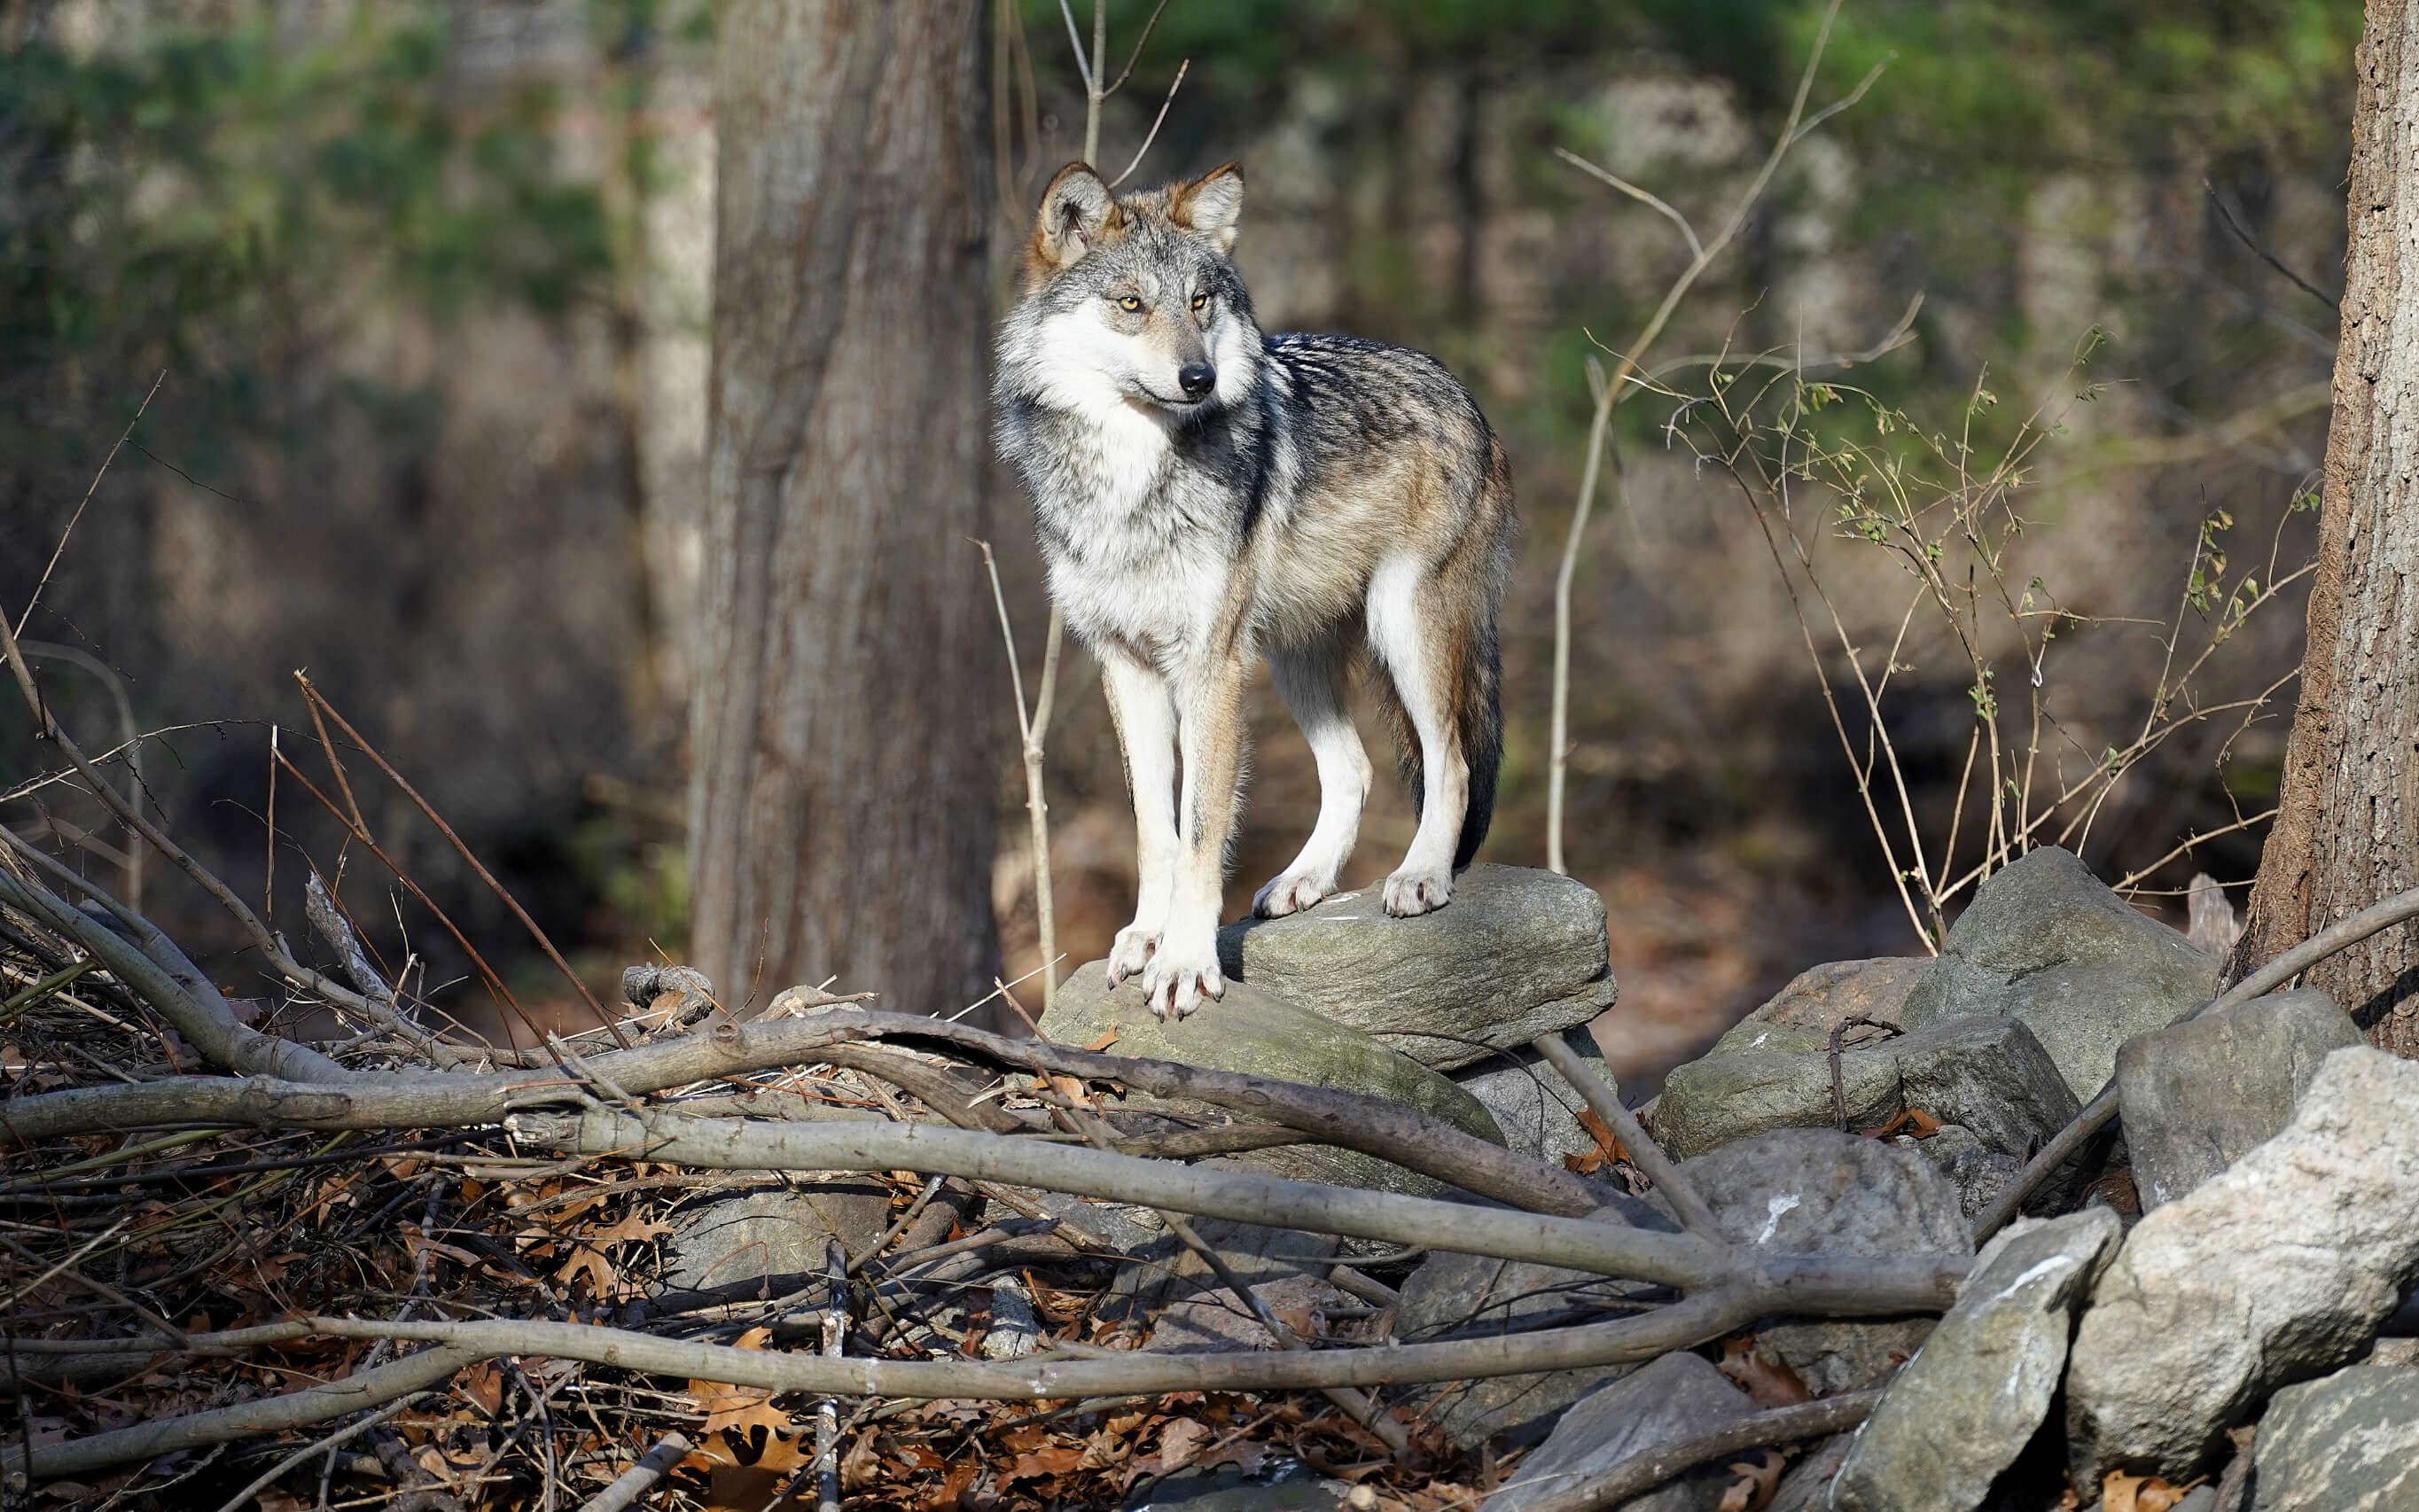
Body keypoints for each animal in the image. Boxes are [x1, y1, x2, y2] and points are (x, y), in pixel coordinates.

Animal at [993, 160, 1514, 1019]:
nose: (1197, 376)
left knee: (1452, 764)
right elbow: (1155, 827)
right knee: (1353, 770)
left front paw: (1183, 963)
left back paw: (1420, 876)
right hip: (1290, 657)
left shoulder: (1210, 668)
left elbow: (1202, 830)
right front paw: (1145, 937)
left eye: (1200, 301)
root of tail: (1463, 391)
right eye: (1131, 303)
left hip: (1400, 628)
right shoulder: (1127, 666)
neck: (1130, 482)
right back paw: (1304, 881)